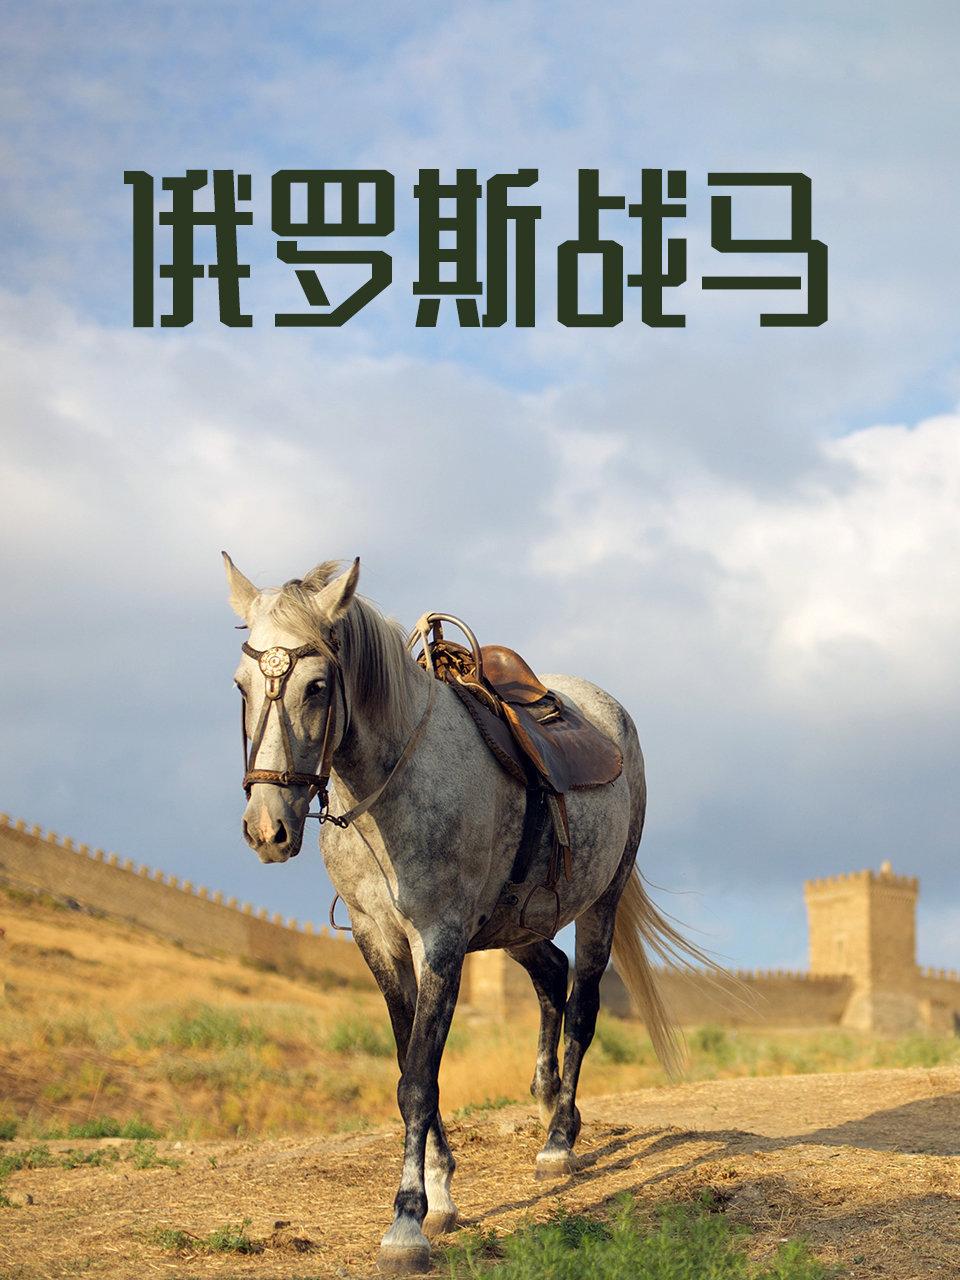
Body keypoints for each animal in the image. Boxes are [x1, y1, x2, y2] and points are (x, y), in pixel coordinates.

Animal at [223, 553, 707, 1274]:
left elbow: (419, 1081)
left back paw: (558, 1141)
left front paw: (407, 1222)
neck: (391, 789)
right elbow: (409, 1066)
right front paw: (441, 1192)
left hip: (600, 902)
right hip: (517, 922)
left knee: (583, 1005)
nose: (267, 828)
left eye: (316, 686)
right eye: (241, 685)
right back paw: (547, 1098)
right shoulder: (380, 943)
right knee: (550, 973)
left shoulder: (442, 941)